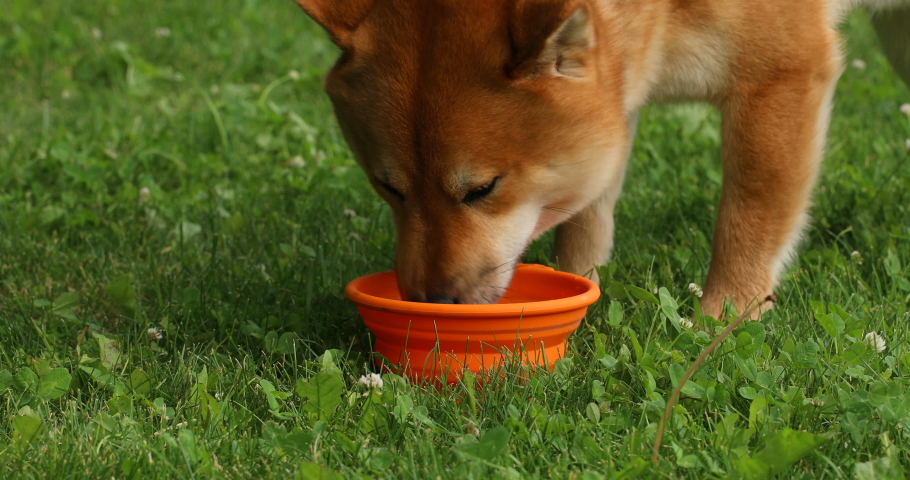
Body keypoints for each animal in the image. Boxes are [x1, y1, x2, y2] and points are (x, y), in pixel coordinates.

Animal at [292, 0, 910, 318]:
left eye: (481, 189)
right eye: (389, 188)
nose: (429, 300)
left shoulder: (781, 75)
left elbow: (747, 222)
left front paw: (717, 328)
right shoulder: (618, 89)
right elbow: (587, 215)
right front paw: (580, 282)